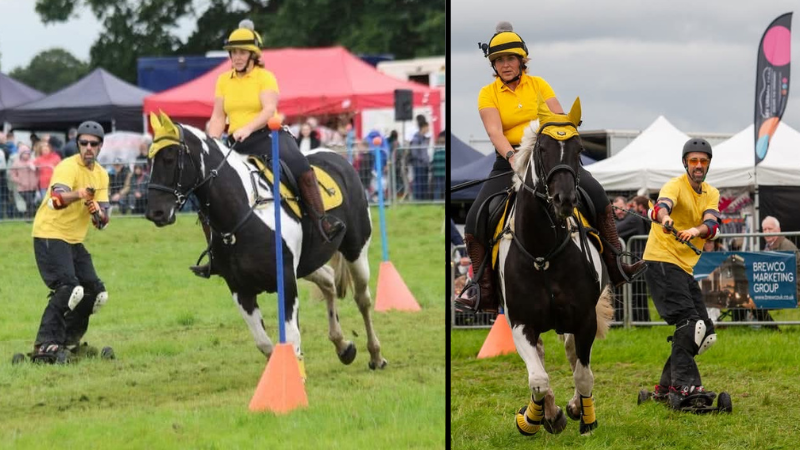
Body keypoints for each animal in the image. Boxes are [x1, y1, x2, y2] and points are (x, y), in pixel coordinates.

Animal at [148, 113, 390, 372]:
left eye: (169, 159)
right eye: (150, 159)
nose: (155, 212)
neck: (243, 211)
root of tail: (337, 157)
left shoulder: (286, 282)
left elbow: (292, 338)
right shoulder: (240, 289)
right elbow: (264, 343)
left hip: (356, 251)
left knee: (362, 299)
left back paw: (376, 355)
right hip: (306, 264)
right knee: (327, 280)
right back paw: (343, 346)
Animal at [500, 97, 612, 436]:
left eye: (579, 149)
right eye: (543, 148)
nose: (565, 199)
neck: (542, 253)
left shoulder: (585, 317)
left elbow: (582, 373)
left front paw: (585, 417)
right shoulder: (521, 324)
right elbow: (538, 379)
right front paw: (535, 418)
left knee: (574, 354)